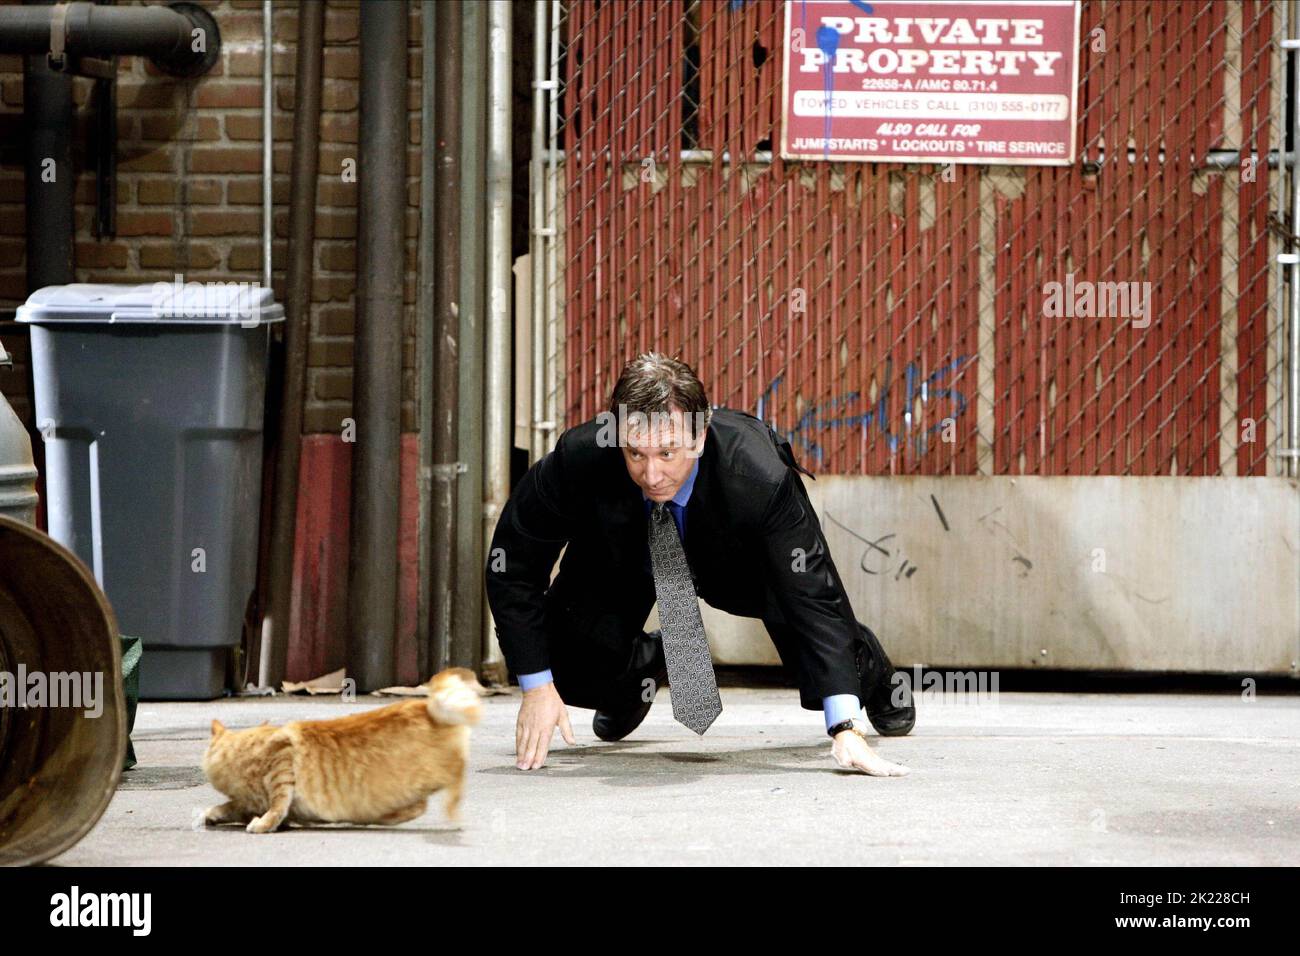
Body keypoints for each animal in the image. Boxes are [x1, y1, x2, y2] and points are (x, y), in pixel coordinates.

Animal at [200, 665, 486, 832]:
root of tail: (425, 705)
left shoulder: (282, 766)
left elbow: (276, 806)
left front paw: (263, 825)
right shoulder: (247, 802)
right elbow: (231, 806)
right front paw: (212, 814)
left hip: (441, 773)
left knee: (447, 787)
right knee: (418, 806)